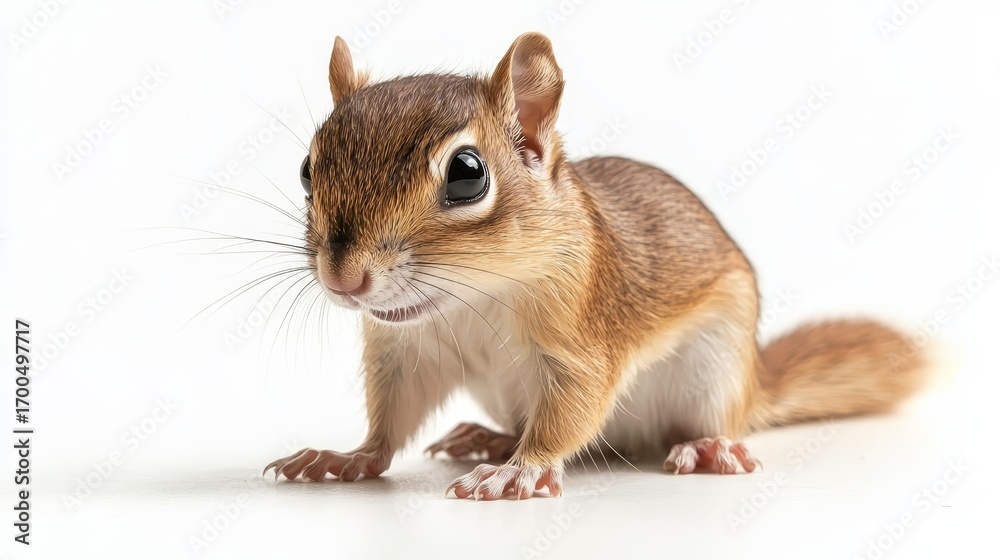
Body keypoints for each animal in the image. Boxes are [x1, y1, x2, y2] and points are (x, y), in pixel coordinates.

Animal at [263, 33, 927, 500]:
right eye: (306, 169)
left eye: (467, 174)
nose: (343, 278)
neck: (475, 298)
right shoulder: (405, 354)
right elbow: (390, 422)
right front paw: (349, 456)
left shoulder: (582, 344)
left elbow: (569, 413)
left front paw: (518, 473)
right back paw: (490, 438)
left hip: (714, 369)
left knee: (714, 419)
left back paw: (708, 447)